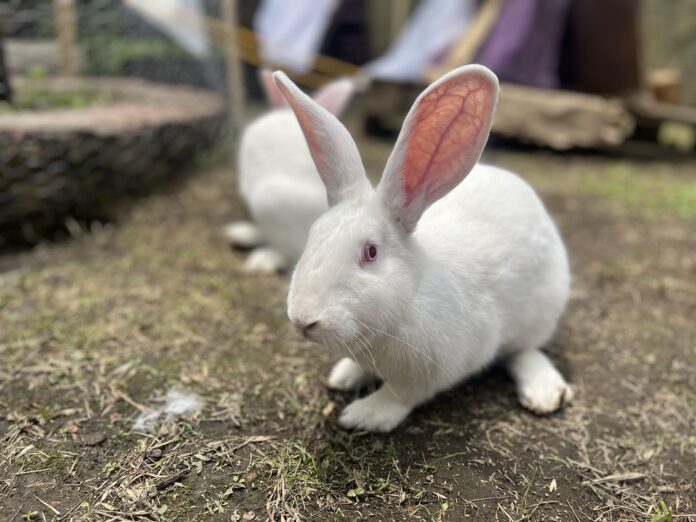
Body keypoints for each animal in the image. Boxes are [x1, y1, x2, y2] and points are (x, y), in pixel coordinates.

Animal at [273, 64, 574, 433]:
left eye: (371, 252)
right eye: (313, 234)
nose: (302, 320)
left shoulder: (430, 372)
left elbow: (400, 396)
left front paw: (363, 415)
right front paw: (344, 376)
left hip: (541, 312)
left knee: (524, 350)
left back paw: (544, 391)